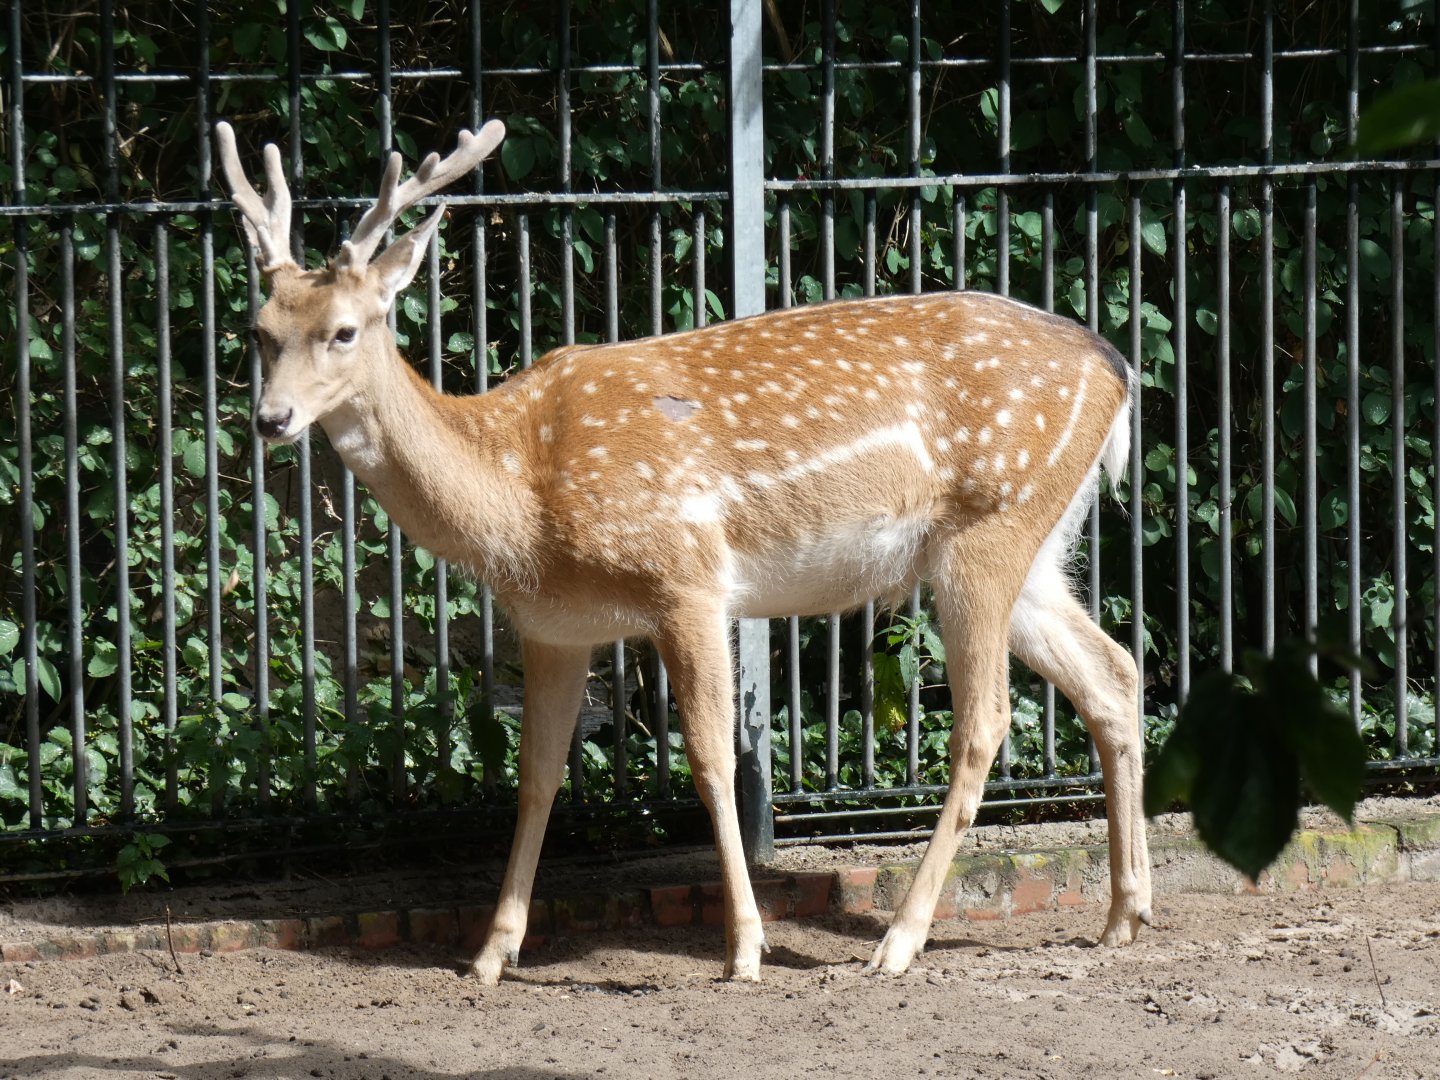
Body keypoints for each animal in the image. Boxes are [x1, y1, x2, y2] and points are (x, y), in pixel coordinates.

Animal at [214, 118, 1153, 984]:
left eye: (344, 331)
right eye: (259, 329)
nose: (270, 418)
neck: (522, 497)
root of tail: (1118, 369)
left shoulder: (687, 579)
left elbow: (710, 761)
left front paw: (744, 949)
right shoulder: (552, 627)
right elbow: (537, 776)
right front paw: (490, 954)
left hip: (988, 528)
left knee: (984, 721)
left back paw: (899, 941)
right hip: (1036, 547)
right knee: (1113, 671)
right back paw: (1125, 915)